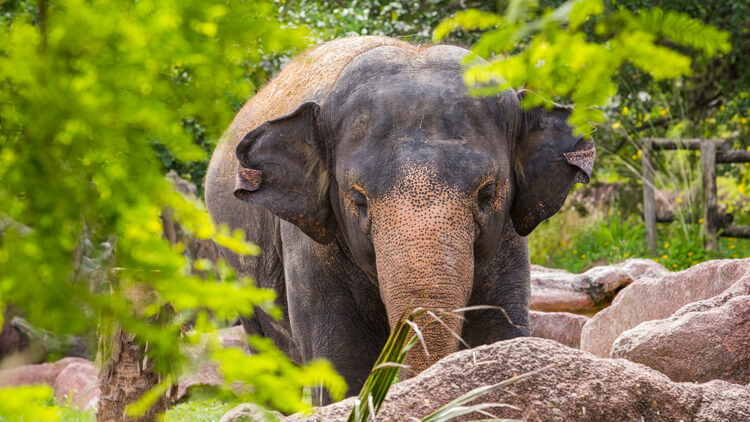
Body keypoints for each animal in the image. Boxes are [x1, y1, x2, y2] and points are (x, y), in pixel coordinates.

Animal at [205, 35, 595, 403]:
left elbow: (499, 333)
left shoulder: (510, 240)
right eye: (358, 199)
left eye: (487, 193)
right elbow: (340, 360)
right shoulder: (307, 245)